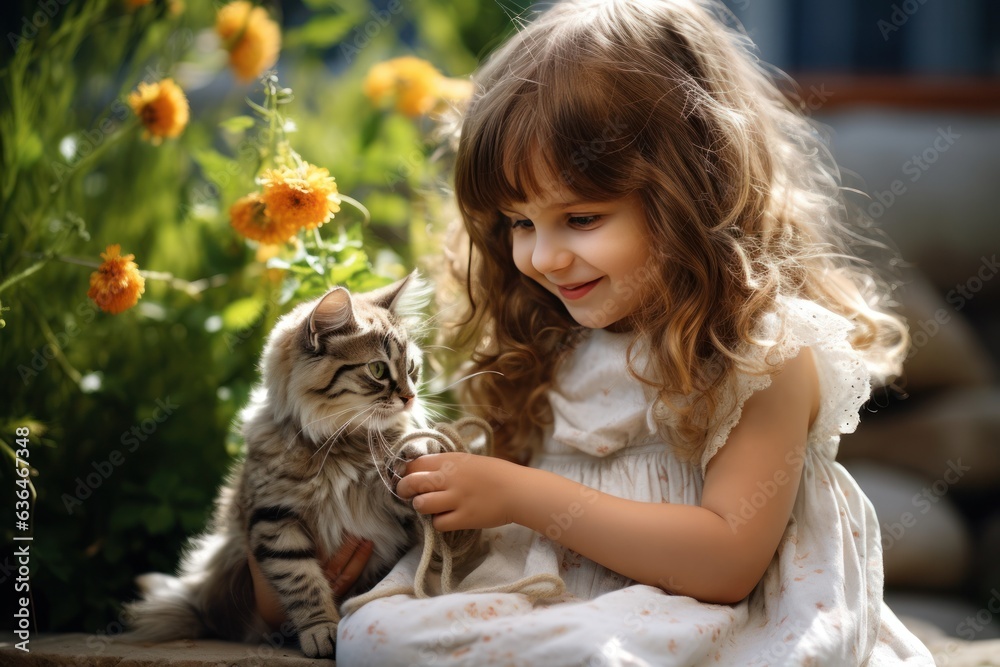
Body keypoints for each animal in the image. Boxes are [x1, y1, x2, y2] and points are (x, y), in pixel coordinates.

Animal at [124, 276, 434, 656]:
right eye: (377, 370)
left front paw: (412, 455)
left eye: (412, 369)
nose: (410, 397)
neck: (340, 445)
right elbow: (303, 581)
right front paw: (322, 631)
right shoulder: (275, 519)